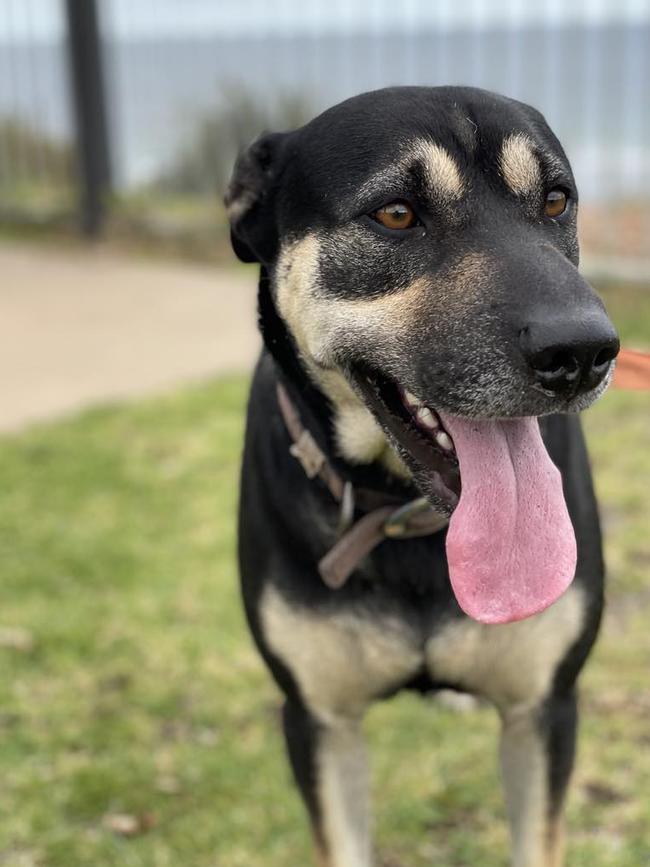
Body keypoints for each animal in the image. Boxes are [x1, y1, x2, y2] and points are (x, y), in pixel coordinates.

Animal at [225, 86, 616, 867]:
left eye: (556, 201)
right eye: (397, 214)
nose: (585, 352)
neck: (408, 513)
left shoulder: (543, 711)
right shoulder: (320, 722)